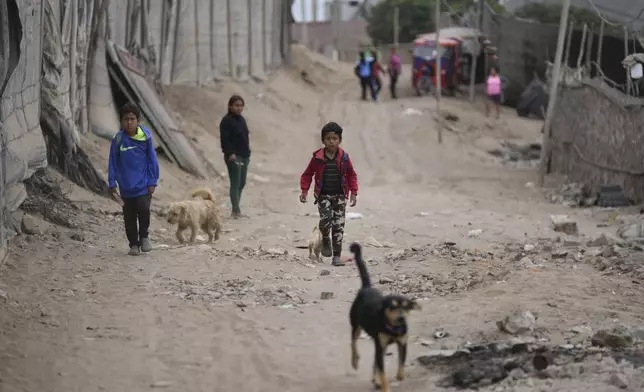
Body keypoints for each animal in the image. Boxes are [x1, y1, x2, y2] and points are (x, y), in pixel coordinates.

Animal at [350, 242, 420, 392]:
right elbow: (382, 373)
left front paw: (399, 376)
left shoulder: (402, 343)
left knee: (374, 362)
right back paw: (355, 361)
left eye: (405, 307)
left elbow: (400, 363)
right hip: (356, 325)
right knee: (353, 343)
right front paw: (385, 386)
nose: (400, 318)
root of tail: (366, 288)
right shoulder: (380, 345)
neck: (393, 328)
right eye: (392, 307)